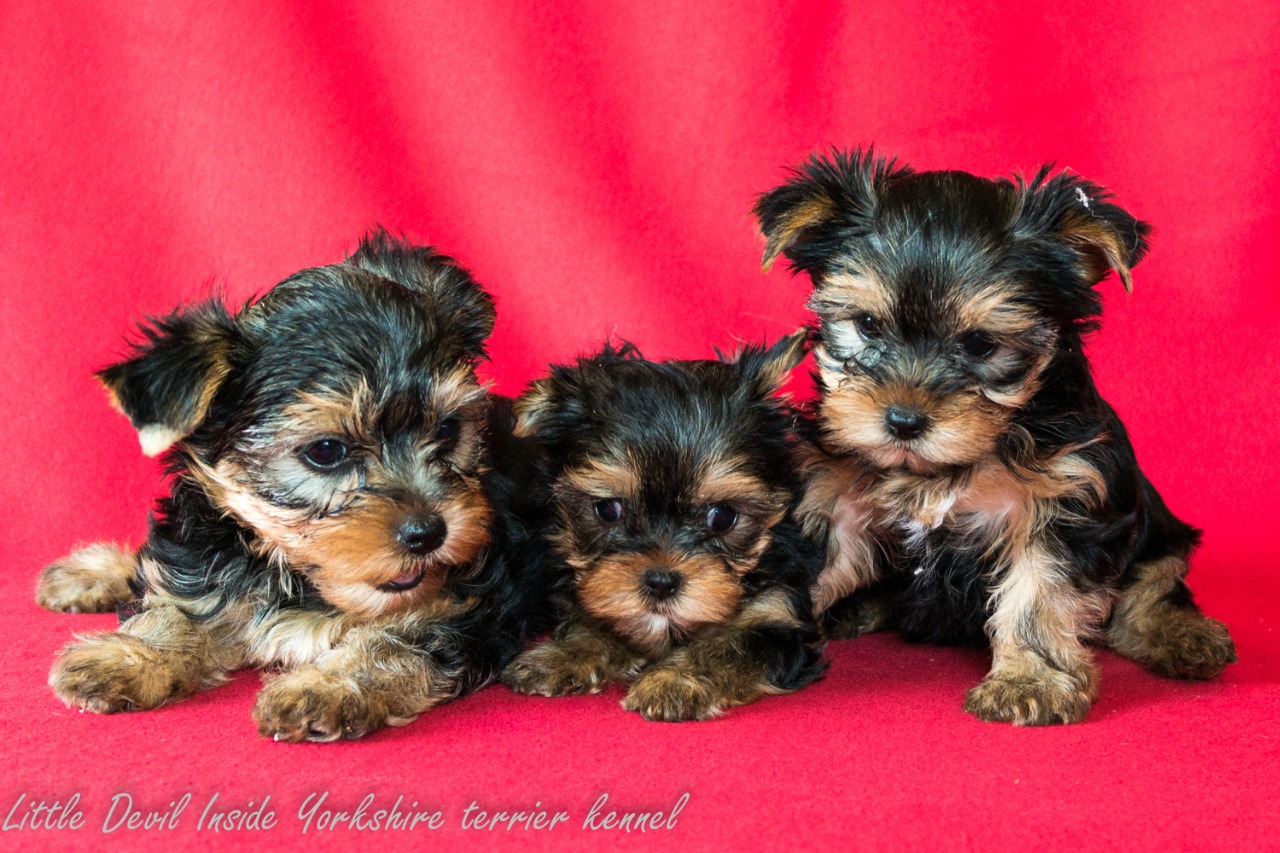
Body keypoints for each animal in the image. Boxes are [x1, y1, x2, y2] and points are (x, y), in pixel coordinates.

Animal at [36, 230, 552, 741]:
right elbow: (183, 604)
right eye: (326, 451)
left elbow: (393, 645)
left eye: (448, 430)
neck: (292, 572)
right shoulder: (206, 557)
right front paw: (130, 656)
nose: (428, 533)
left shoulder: (462, 609)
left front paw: (327, 688)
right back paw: (91, 573)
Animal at [501, 336, 827, 721]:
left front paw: (674, 681)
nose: (660, 582)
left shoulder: (779, 613)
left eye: (722, 517)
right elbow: (592, 620)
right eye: (608, 510)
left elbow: (731, 645)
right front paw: (562, 655)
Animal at [753, 149, 1236, 725]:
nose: (903, 421)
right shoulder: (839, 495)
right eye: (867, 325)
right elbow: (803, 572)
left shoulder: (1064, 498)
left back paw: (1184, 635)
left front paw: (1029, 681)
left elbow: (1038, 591)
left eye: (981, 344)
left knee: (1154, 584)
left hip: (1158, 531)